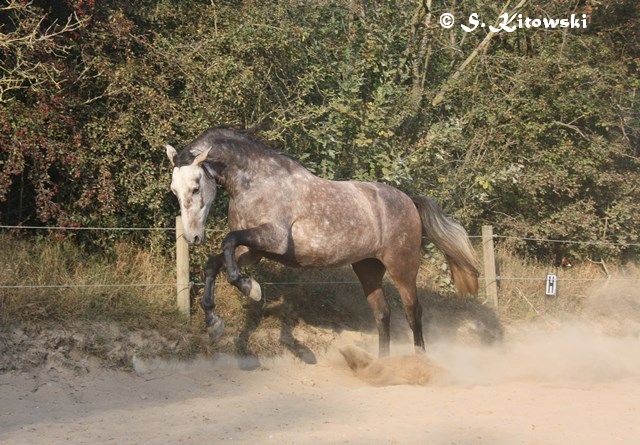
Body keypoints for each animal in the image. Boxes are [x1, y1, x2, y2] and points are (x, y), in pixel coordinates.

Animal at [168, 126, 478, 356]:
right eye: (173, 190)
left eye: (195, 187)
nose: (193, 237)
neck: (257, 183)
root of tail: (409, 200)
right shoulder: (254, 249)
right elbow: (215, 261)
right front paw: (213, 322)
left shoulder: (273, 239)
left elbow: (228, 243)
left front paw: (249, 288)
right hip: (367, 268)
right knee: (382, 314)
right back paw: (381, 366)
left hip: (402, 267)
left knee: (413, 312)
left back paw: (418, 363)